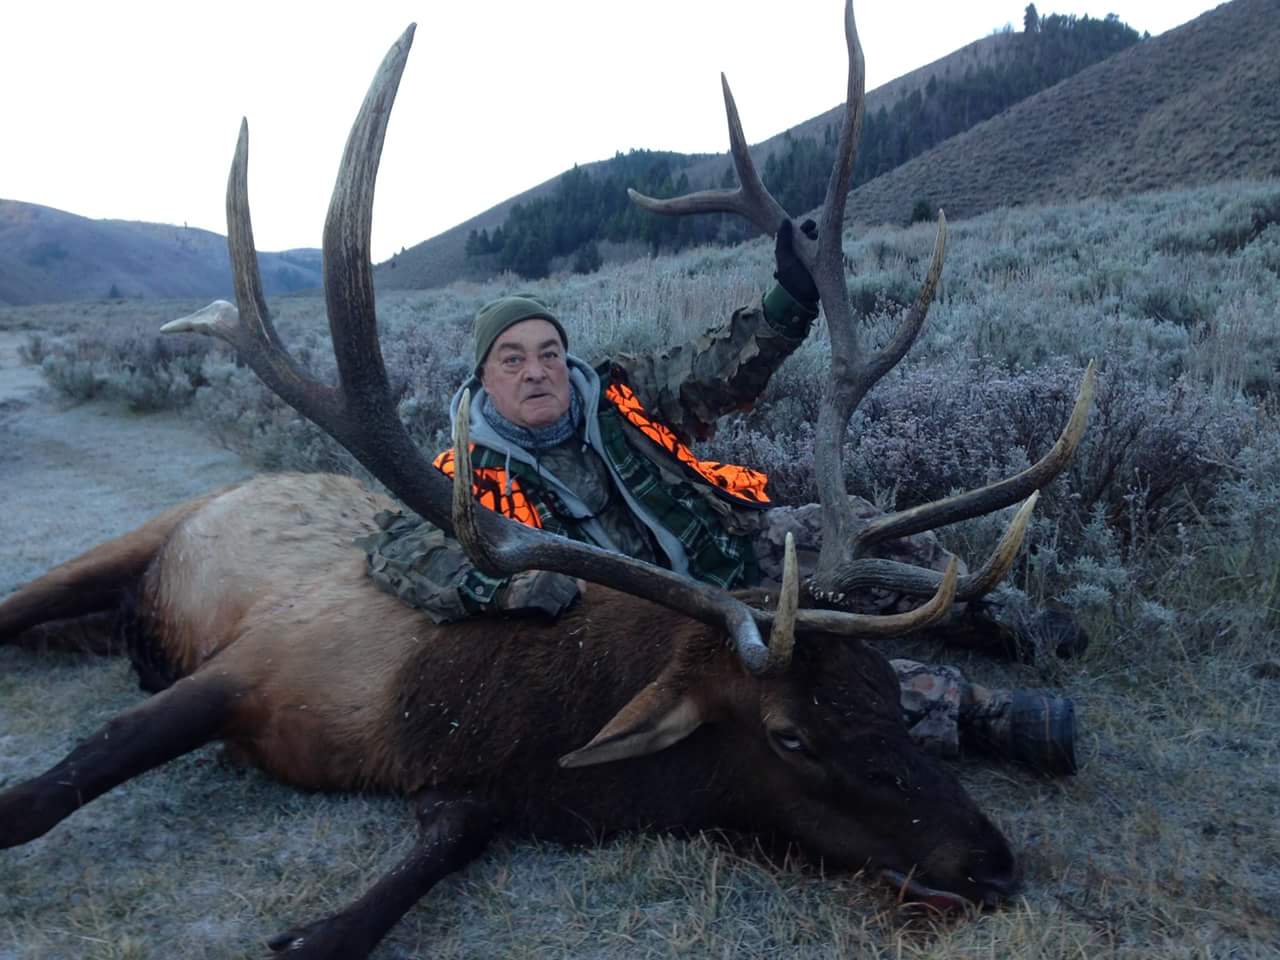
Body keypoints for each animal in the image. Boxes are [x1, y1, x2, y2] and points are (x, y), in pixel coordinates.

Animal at [0, 3, 1095, 957]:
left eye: (882, 693)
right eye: (791, 737)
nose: (994, 862)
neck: (453, 717)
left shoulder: (487, 787)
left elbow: (429, 861)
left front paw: (314, 928)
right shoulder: (258, 661)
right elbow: (49, 792)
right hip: (138, 541)